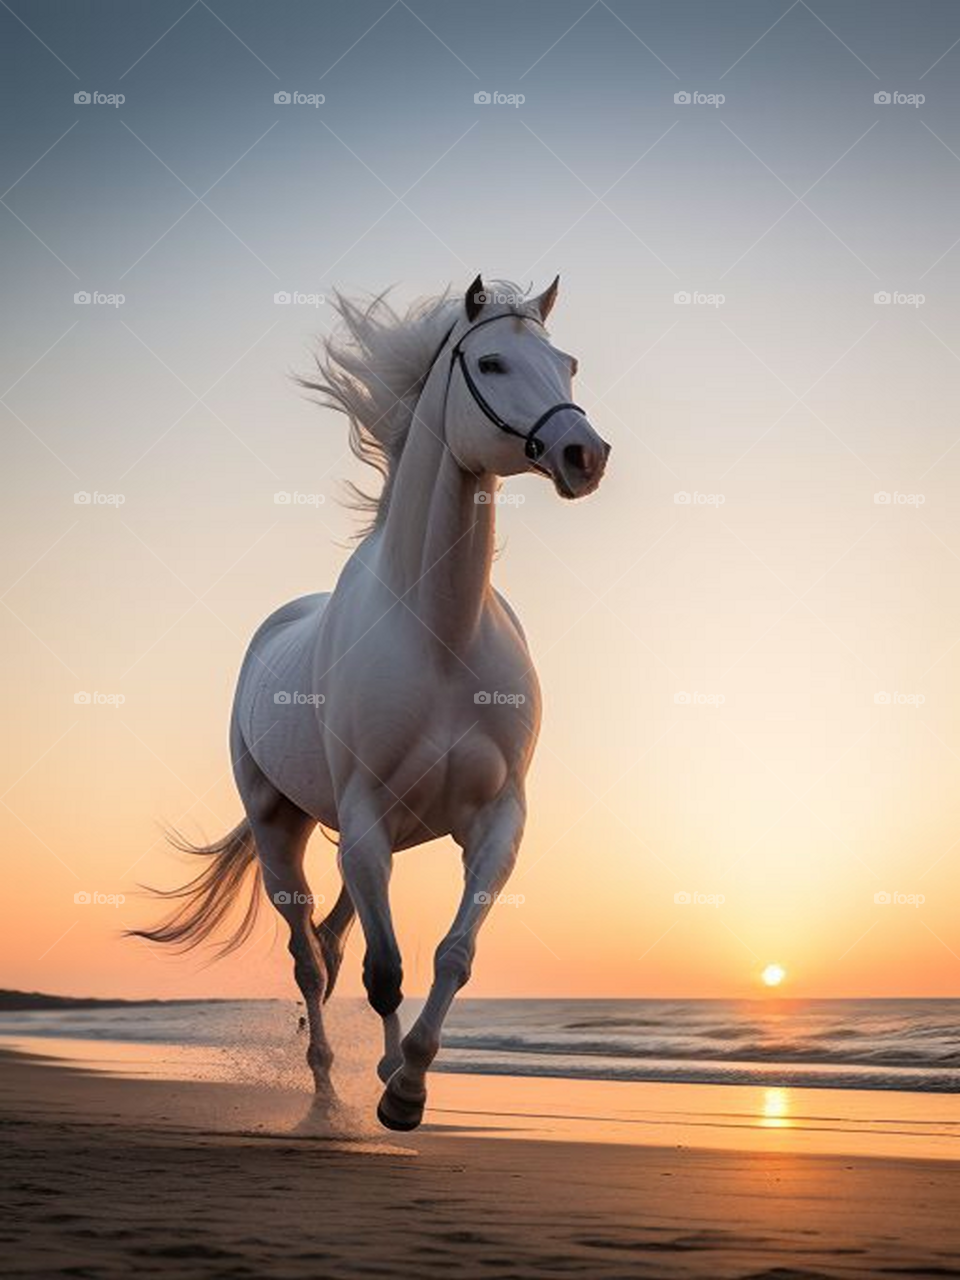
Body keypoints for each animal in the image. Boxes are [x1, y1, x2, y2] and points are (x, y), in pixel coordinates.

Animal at [131, 274, 610, 1130]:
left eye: (568, 363)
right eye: (491, 362)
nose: (584, 454)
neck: (439, 634)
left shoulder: (496, 823)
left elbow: (452, 954)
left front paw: (408, 1080)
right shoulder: (362, 821)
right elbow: (383, 972)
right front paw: (397, 1097)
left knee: (333, 942)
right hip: (286, 833)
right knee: (309, 958)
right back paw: (325, 1094)